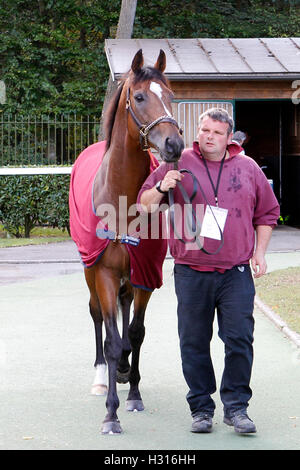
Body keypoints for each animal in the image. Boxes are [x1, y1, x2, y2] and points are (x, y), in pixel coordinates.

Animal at [69, 48, 184, 434]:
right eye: (140, 97)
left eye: (171, 96)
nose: (174, 144)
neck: (121, 199)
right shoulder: (103, 272)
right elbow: (113, 340)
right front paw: (110, 414)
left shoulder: (144, 274)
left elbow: (135, 334)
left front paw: (132, 394)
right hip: (90, 270)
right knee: (96, 317)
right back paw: (101, 377)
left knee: (122, 312)